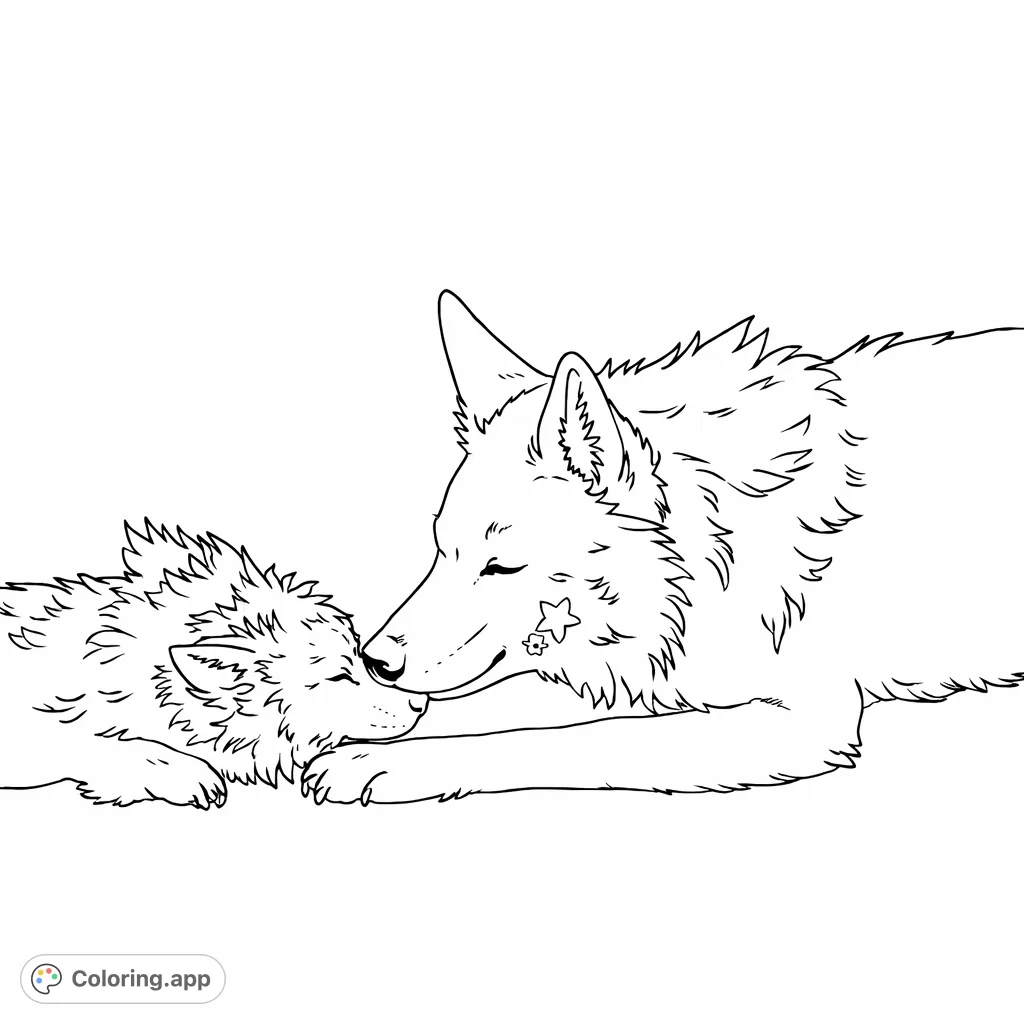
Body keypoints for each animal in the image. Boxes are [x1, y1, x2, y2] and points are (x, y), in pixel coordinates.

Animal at [301, 291, 1023, 805]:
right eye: (439, 550)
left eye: (501, 565)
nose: (375, 661)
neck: (728, 539)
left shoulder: (799, 717)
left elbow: (567, 739)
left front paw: (379, 760)